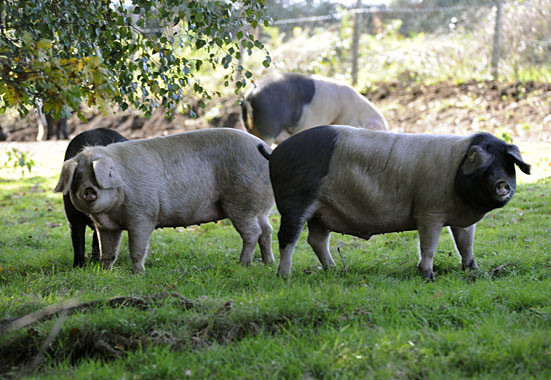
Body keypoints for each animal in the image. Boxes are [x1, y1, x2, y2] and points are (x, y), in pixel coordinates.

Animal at [260, 125, 532, 280]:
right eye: (485, 165)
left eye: (507, 164)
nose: (502, 184)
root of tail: (275, 153)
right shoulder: (429, 211)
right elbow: (429, 245)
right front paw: (428, 276)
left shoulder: (461, 219)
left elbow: (466, 243)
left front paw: (473, 270)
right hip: (294, 201)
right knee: (288, 237)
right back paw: (284, 276)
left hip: (321, 212)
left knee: (316, 240)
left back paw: (335, 270)